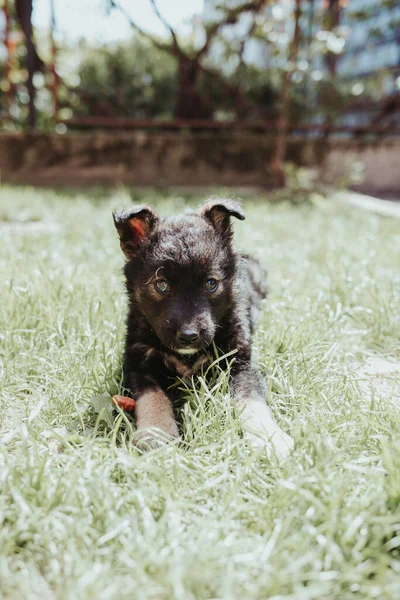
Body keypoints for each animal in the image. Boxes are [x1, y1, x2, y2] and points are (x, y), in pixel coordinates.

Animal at [112, 199, 294, 458]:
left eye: (210, 284)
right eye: (161, 285)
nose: (189, 336)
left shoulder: (241, 362)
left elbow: (251, 400)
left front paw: (268, 437)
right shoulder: (137, 363)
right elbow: (153, 396)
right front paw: (156, 432)